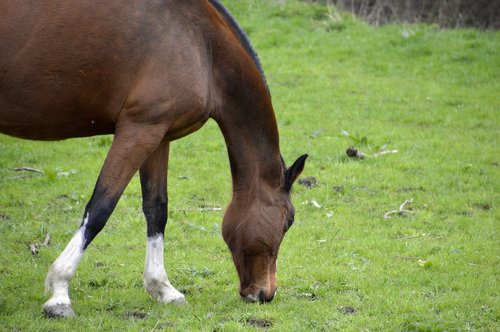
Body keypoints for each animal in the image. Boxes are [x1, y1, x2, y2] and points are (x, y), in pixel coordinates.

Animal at [0, 0, 306, 318]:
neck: (204, 45)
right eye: (288, 221)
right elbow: (100, 207)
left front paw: (163, 288)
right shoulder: (138, 129)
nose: (265, 293)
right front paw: (60, 292)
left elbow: (156, 208)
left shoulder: (158, 134)